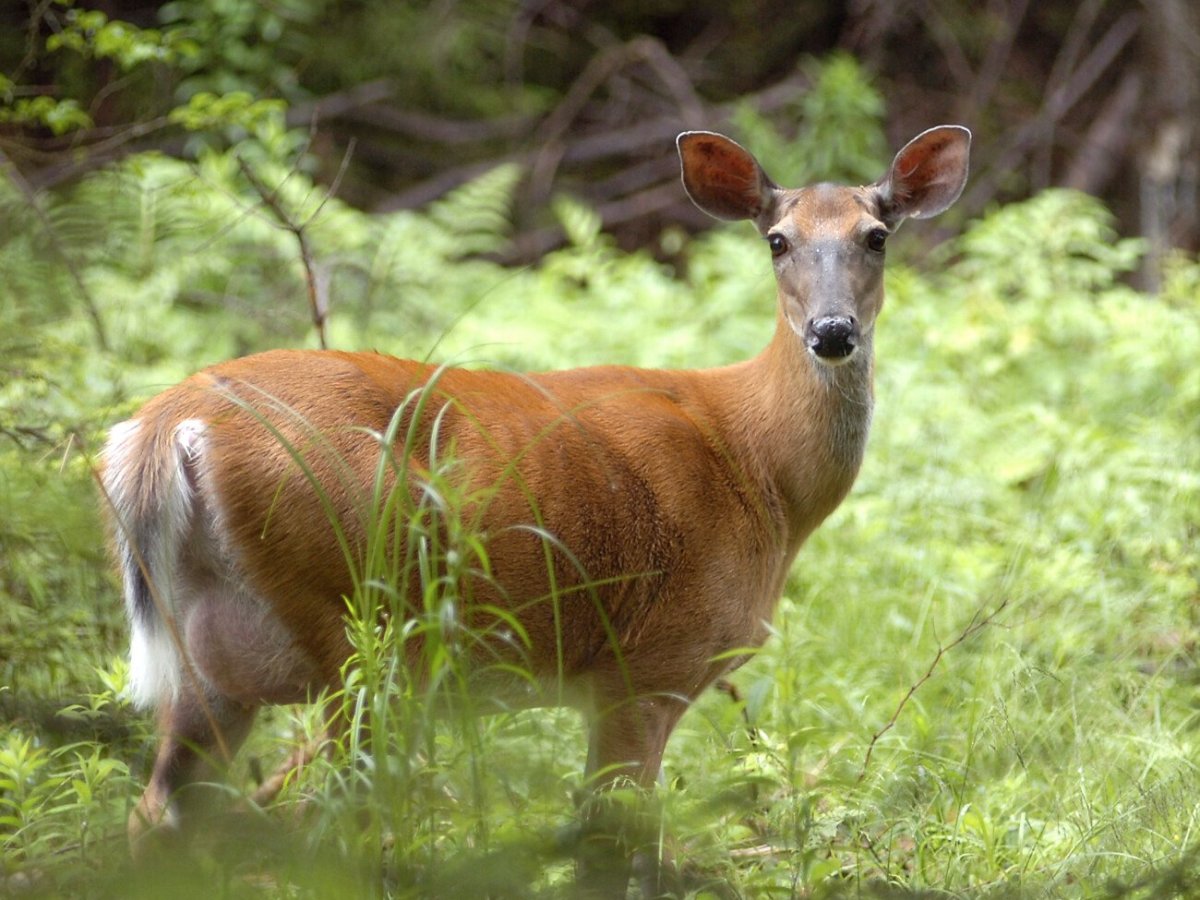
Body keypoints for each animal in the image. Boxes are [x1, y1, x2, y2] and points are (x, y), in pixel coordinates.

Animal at [101, 124, 970, 894]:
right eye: (778, 241)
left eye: (876, 236)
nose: (832, 331)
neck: (760, 467)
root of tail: (167, 425)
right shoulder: (647, 663)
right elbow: (608, 851)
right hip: (358, 622)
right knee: (331, 821)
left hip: (218, 658)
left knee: (157, 818)